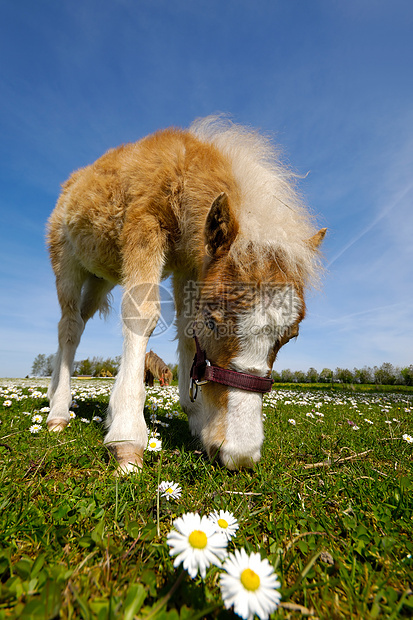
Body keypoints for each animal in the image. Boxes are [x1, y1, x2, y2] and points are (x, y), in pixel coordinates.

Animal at [45, 116, 326, 472]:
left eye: (291, 336)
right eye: (214, 322)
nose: (241, 456)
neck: (181, 171)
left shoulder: (189, 265)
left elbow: (185, 329)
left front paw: (197, 419)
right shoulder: (144, 226)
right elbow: (142, 314)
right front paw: (127, 437)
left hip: (100, 278)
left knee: (78, 323)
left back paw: (54, 394)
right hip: (66, 261)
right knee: (68, 326)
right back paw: (58, 412)